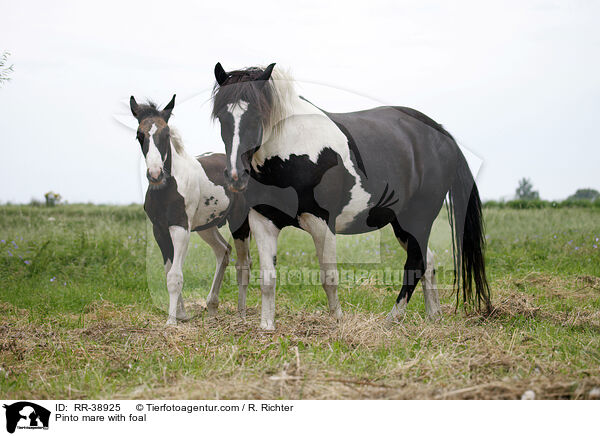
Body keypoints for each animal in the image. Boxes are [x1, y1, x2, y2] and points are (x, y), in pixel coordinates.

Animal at [130, 96, 252, 328]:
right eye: (139, 135)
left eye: (166, 134)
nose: (155, 174)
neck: (167, 189)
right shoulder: (159, 231)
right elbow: (168, 272)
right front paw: (182, 314)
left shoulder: (180, 229)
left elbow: (175, 276)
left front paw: (171, 321)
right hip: (207, 226)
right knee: (223, 251)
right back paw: (212, 306)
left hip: (239, 222)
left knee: (243, 264)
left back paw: (241, 313)